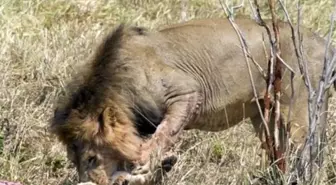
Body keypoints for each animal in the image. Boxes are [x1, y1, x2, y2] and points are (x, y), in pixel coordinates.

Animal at [50, 16, 336, 184]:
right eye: (73, 161)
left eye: (91, 158)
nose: (85, 182)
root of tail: (324, 43)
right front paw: (160, 166)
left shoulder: (187, 92)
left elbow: (163, 135)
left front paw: (144, 169)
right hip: (264, 115)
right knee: (280, 154)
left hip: (301, 109)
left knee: (309, 154)